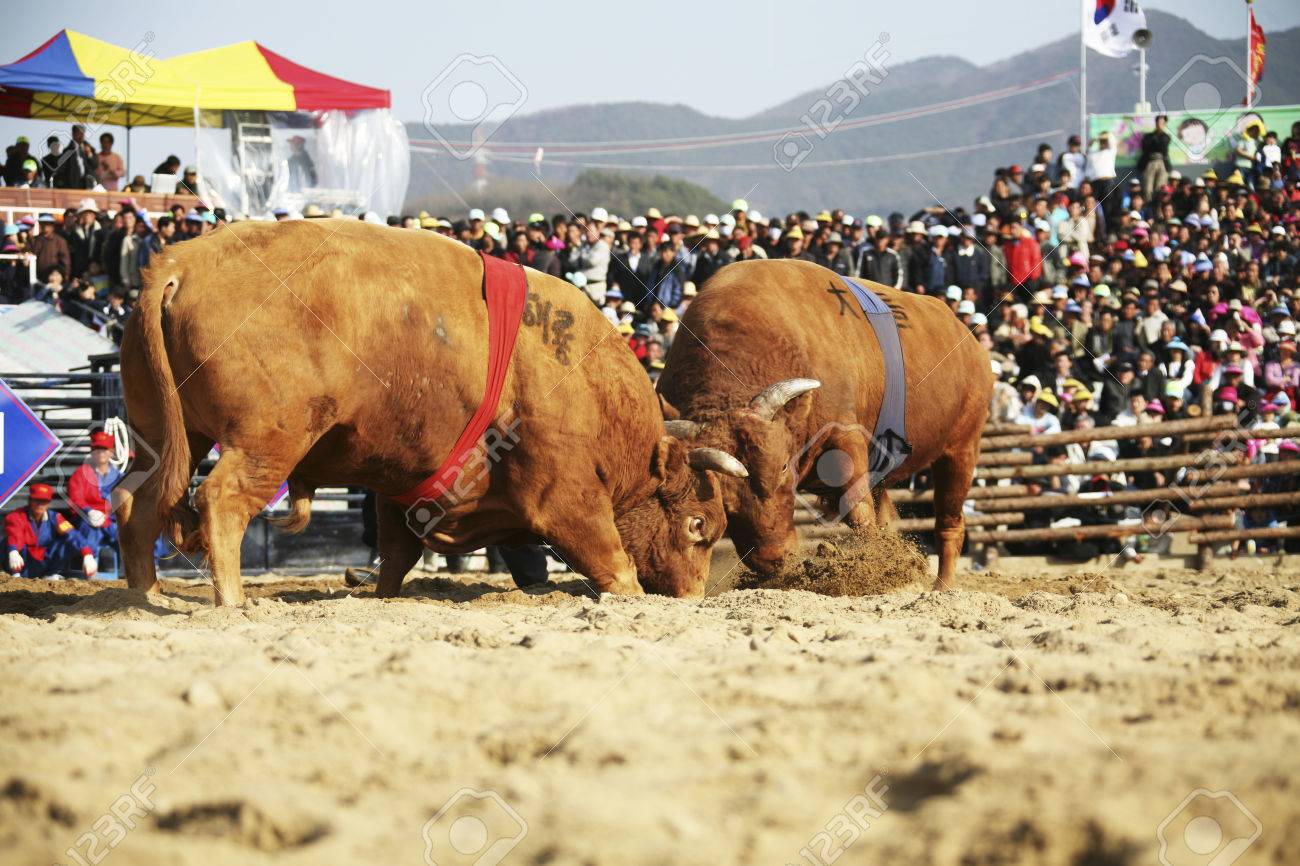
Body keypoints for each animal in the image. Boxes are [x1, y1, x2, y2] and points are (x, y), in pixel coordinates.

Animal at [122, 219, 754, 603]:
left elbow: (396, 560)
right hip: (265, 440)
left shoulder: (397, 486)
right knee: (220, 500)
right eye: (698, 525)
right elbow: (614, 564)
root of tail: (178, 267)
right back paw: (231, 600)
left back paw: (142, 594)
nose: (692, 598)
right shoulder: (566, 495)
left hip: (167, 437)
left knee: (137, 501)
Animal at [655, 260, 987, 590]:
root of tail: (969, 341)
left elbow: (858, 509)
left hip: (960, 451)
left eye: (783, 467)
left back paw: (942, 586)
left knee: (949, 524)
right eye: (724, 499)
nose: (774, 559)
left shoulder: (846, 438)